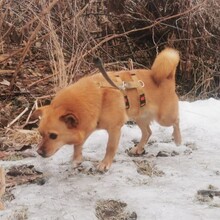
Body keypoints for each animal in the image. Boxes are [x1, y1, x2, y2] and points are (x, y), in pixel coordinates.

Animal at [32, 47, 180, 172]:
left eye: (53, 136)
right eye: (40, 134)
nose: (38, 152)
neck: (98, 97)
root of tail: (168, 77)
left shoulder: (114, 129)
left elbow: (110, 147)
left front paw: (105, 164)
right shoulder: (87, 127)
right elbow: (78, 145)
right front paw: (77, 159)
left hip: (164, 118)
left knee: (176, 121)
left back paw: (178, 138)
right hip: (140, 118)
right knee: (148, 132)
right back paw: (138, 148)